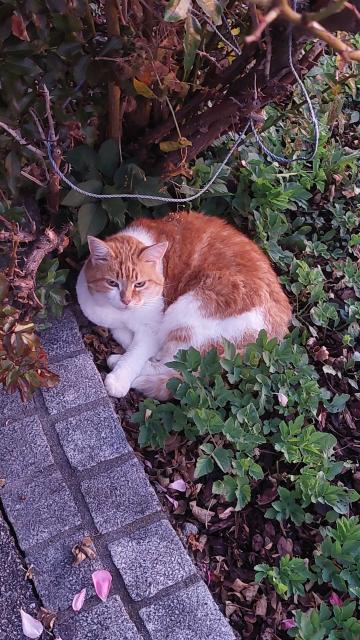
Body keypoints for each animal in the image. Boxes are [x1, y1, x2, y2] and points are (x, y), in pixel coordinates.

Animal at [76, 210, 292, 400]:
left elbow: (137, 353)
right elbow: (127, 337)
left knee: (177, 368)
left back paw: (118, 363)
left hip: (189, 312)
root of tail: (277, 332)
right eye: (112, 283)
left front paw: (119, 379)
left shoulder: (153, 329)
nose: (126, 300)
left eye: (140, 284)